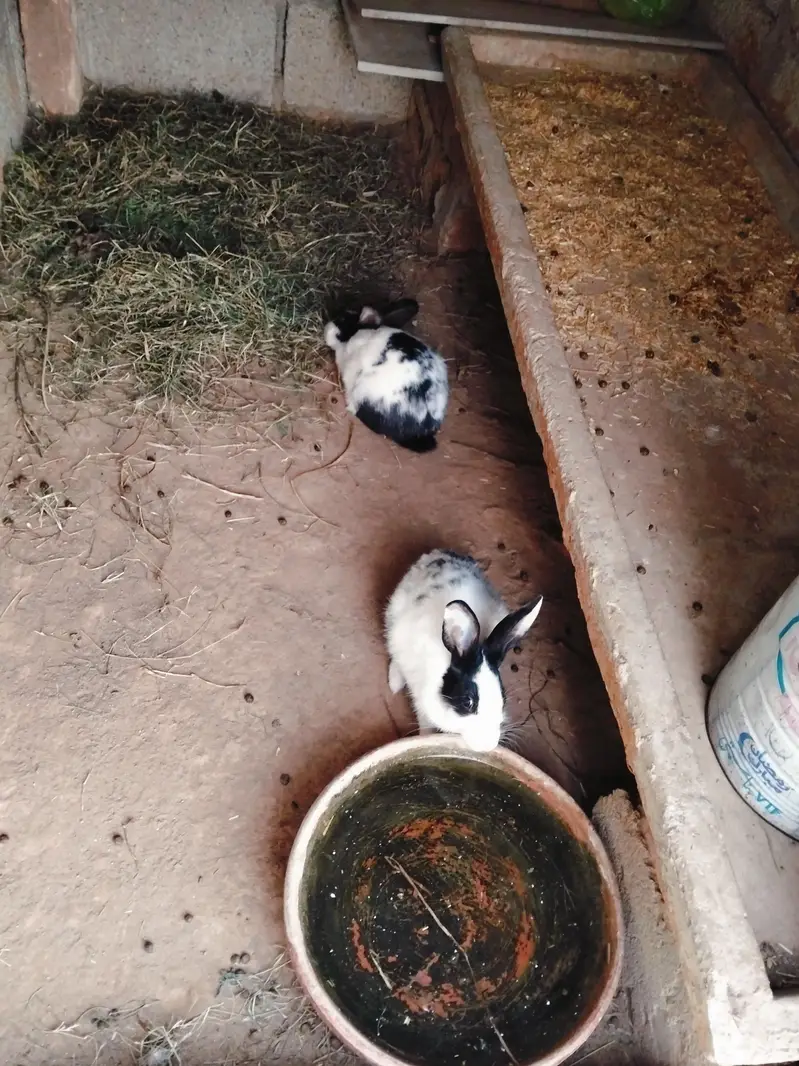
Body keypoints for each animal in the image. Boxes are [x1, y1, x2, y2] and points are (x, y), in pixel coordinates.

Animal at [385, 549, 543, 752]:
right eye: (468, 702)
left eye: (503, 698)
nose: (488, 745)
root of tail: (437, 554)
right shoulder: (421, 701)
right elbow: (425, 724)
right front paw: (423, 737)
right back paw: (395, 683)